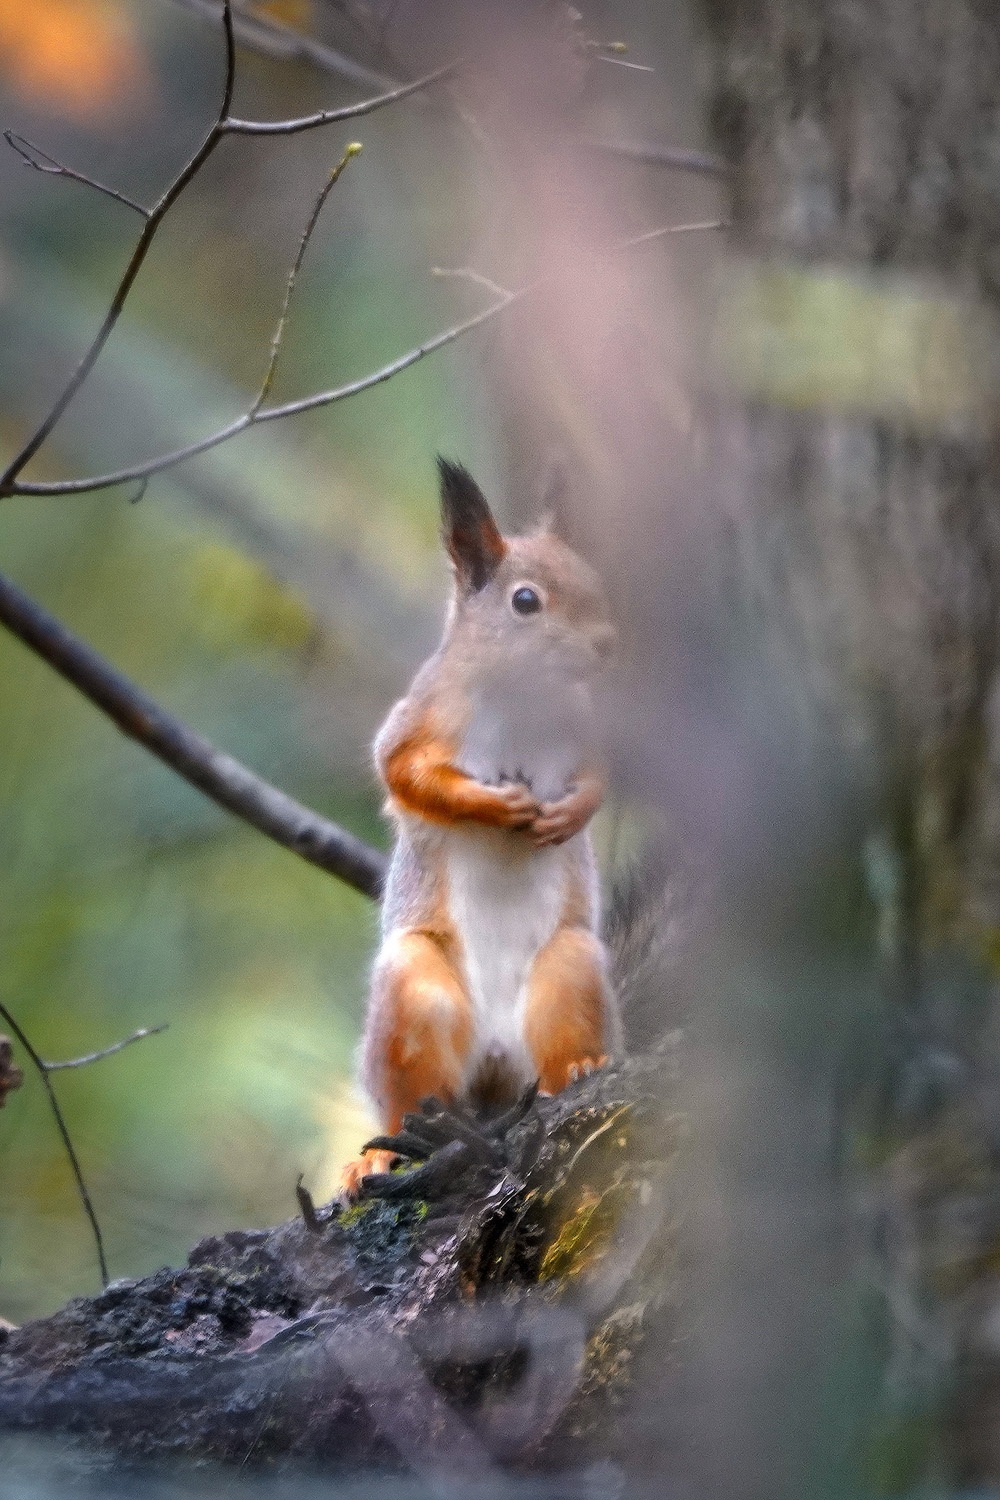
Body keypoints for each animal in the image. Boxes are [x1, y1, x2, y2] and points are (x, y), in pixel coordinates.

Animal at [340, 456, 620, 1194]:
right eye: (525, 601)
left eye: (596, 581)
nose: (608, 647)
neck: (524, 697)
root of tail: (493, 1063)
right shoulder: (421, 721)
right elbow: (406, 774)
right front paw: (496, 807)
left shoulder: (585, 728)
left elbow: (600, 775)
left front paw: (569, 812)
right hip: (417, 994)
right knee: (411, 1099)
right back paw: (380, 1154)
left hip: (570, 967)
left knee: (557, 1048)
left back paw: (577, 1070)